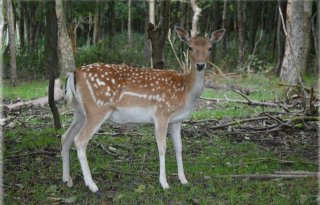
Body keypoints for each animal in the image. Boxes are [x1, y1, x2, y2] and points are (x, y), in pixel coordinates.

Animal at [60, 27, 225, 192]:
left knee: (65, 137)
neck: (185, 92)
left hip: (80, 111)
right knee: (79, 140)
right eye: (190, 47)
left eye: (210, 48)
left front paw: (183, 180)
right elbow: (162, 147)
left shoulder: (176, 120)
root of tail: (74, 73)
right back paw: (92, 185)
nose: (200, 65)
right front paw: (164, 183)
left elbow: (179, 147)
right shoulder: (161, 113)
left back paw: (67, 179)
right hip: (97, 109)